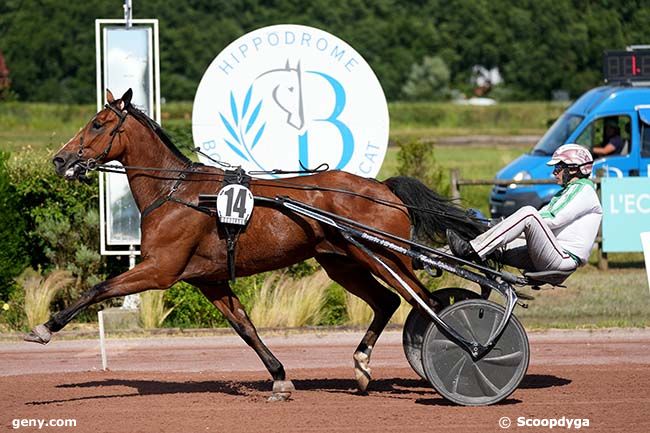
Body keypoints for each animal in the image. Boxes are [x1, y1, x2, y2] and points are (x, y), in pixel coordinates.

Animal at [25, 89, 484, 400]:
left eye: (98, 123)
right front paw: (280, 378)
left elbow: (98, 289)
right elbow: (245, 327)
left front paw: (45, 328)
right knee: (389, 302)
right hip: (343, 263)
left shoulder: (160, 269)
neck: (175, 192)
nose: (60, 160)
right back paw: (362, 366)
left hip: (385, 256)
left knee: (429, 302)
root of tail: (383, 189)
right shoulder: (208, 280)